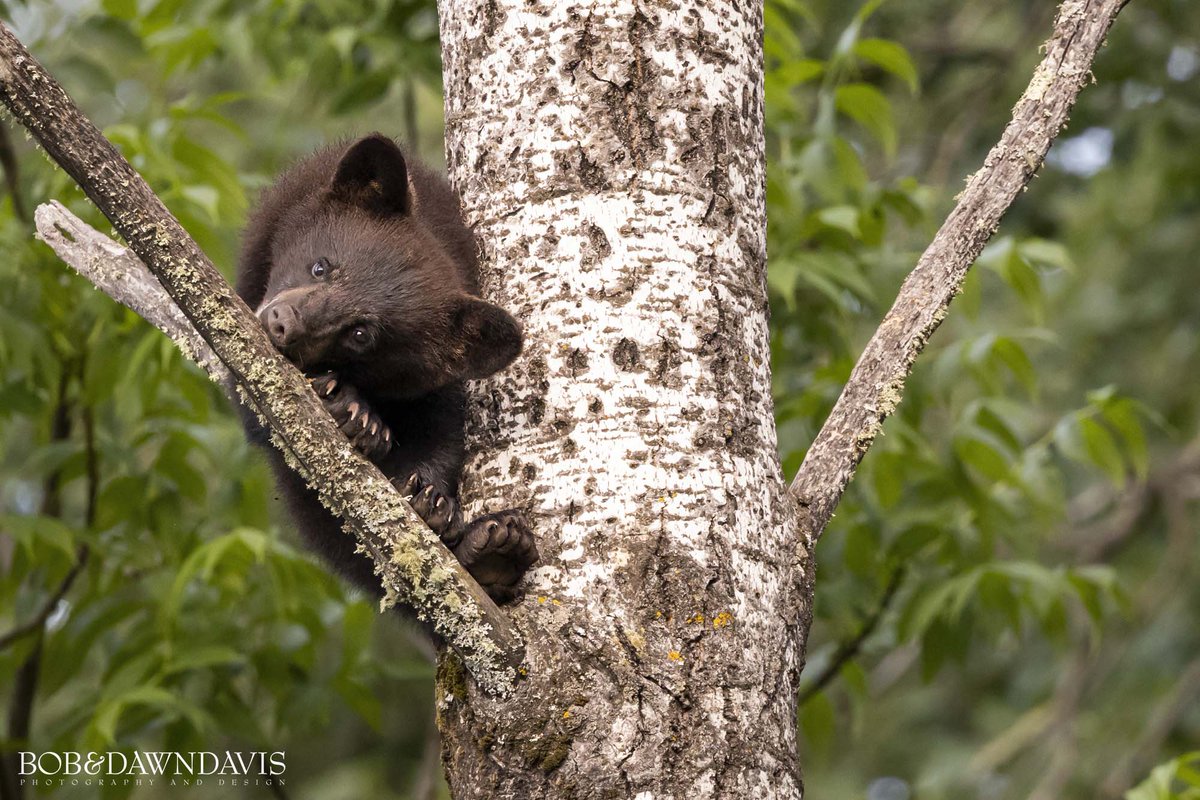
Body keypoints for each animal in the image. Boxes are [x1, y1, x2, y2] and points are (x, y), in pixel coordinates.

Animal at [236, 133, 538, 604]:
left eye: (362, 334)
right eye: (321, 265)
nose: (283, 321)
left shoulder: (441, 378)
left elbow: (445, 426)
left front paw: (430, 499)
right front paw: (354, 412)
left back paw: (495, 550)